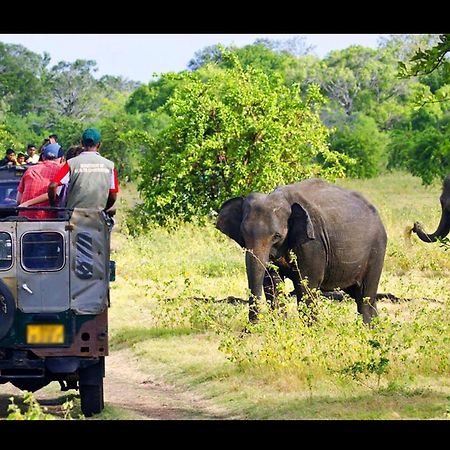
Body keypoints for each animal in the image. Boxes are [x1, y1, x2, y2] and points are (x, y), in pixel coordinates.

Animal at [216, 178, 388, 324]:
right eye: (243, 234)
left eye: (276, 236)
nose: (248, 330)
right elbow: (272, 282)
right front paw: (281, 326)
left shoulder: (313, 243)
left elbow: (306, 283)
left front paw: (312, 330)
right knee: (359, 294)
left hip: (377, 248)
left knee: (365, 295)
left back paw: (367, 329)